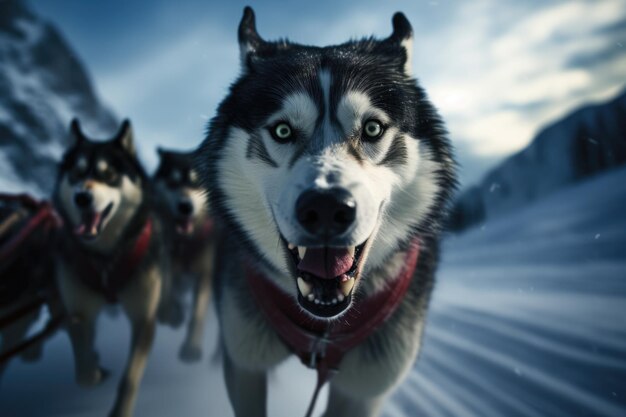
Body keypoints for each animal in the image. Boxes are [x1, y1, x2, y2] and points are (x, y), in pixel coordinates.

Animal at [53, 118, 163, 416]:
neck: (106, 261)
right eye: (76, 173)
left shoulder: (144, 318)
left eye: (109, 174)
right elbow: (83, 365)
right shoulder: (78, 307)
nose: (82, 197)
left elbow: (129, 379)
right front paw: (94, 368)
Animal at [152, 149, 214, 360]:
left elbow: (197, 314)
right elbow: (167, 289)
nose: (185, 206)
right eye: (173, 183)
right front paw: (169, 314)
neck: (187, 242)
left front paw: (192, 347)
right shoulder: (168, 261)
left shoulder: (205, 273)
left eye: (197, 182)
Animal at [197, 6, 456, 416]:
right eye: (282, 131)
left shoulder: (363, 388)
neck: (322, 332)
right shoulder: (245, 364)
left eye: (372, 128)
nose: (326, 208)